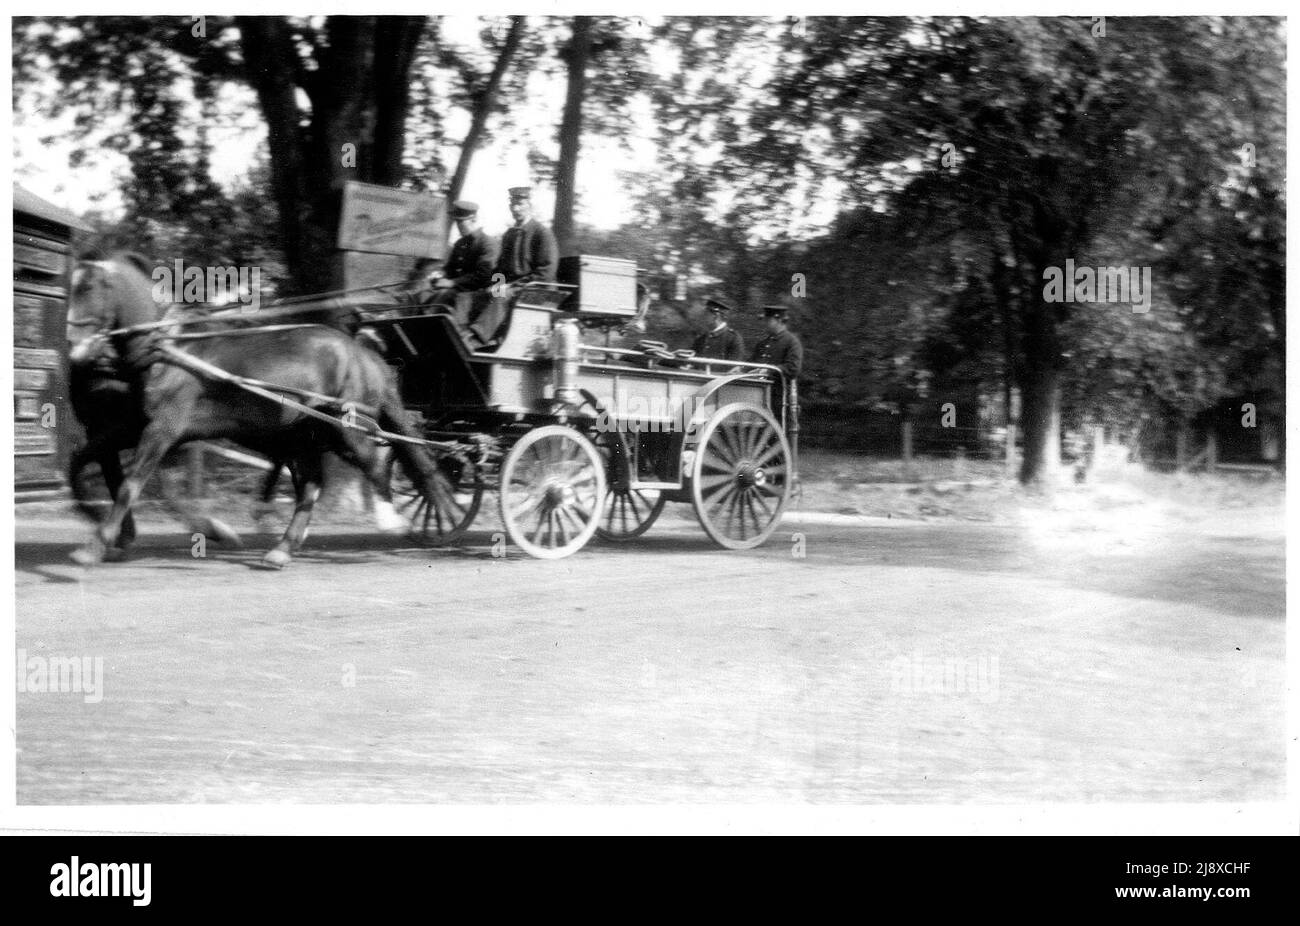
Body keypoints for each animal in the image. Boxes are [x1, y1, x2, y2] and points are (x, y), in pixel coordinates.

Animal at [68, 254, 449, 572]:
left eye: (88, 288)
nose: (76, 349)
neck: (169, 350)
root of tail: (364, 355)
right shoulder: (136, 425)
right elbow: (81, 462)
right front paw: (106, 527)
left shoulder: (163, 429)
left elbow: (130, 485)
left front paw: (96, 545)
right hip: (305, 434)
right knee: (312, 484)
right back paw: (282, 548)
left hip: (347, 427)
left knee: (375, 464)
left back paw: (394, 520)